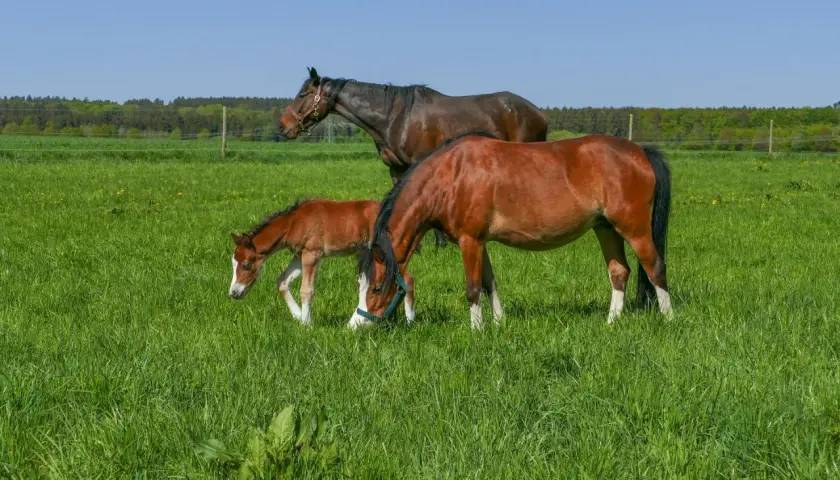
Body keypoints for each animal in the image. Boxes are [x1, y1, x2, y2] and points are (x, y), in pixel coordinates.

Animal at [228, 198, 415, 326]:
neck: (294, 222)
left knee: (407, 278)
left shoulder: (312, 254)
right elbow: (282, 281)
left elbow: (306, 290)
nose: (233, 293)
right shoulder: (300, 255)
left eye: (246, 265)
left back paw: (410, 320)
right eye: (233, 263)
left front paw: (306, 324)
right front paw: (298, 316)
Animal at [278, 67, 548, 248]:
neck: (395, 117)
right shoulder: (396, 169)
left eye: (303, 94)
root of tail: (538, 113)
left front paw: (439, 243)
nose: (283, 126)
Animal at [348, 132, 673, 330]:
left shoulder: (469, 241)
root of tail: (640, 151)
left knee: (655, 267)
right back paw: (611, 322)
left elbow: (472, 287)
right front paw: (498, 323)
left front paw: (476, 330)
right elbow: (489, 283)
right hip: (606, 228)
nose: (355, 325)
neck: (451, 175)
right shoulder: (480, 242)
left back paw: (669, 320)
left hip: (634, 228)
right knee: (619, 272)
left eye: (376, 288)